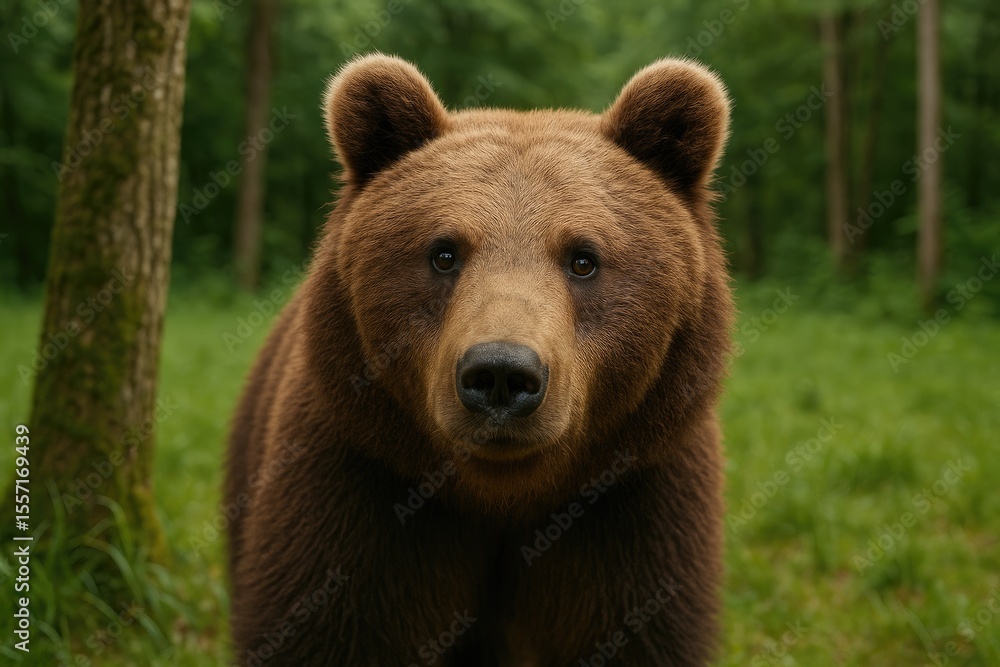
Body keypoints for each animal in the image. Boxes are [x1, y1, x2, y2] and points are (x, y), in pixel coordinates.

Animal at [225, 53, 733, 666]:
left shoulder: (633, 505)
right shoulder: (360, 488)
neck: (499, 497)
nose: (501, 374)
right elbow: (325, 627)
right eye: (443, 253)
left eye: (583, 259)